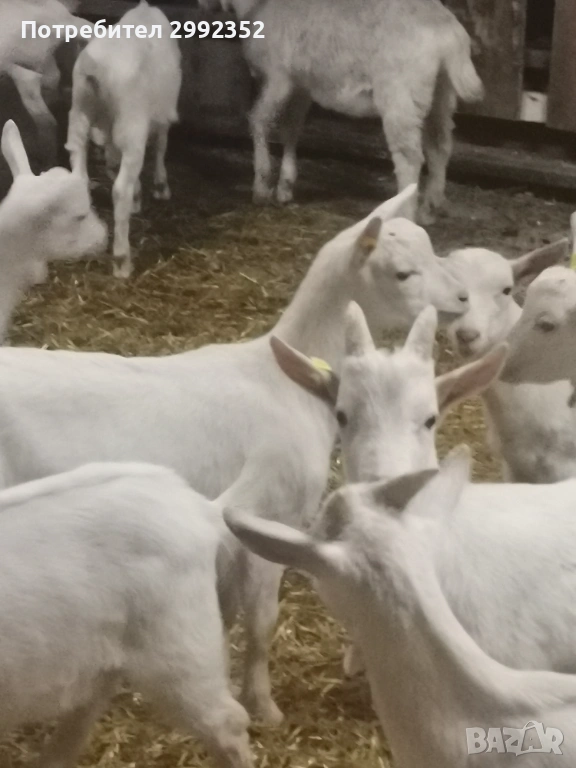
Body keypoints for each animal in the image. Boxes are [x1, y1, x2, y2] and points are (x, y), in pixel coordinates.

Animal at [0, 184, 468, 724]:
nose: (462, 298)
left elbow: (224, 614)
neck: (287, 381)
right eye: (402, 273)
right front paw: (264, 706)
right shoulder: (269, 518)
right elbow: (262, 621)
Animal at [66, 1, 182, 278]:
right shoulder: (162, 114)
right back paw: (122, 260)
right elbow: (161, 146)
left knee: (81, 176)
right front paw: (160, 187)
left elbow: (113, 162)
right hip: (132, 123)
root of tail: (95, 69)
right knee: (120, 190)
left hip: (79, 113)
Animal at [198, 0, 483, 223]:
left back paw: (405, 214)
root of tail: (449, 35)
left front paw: (261, 187)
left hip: (401, 94)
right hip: (442, 94)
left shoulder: (279, 77)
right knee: (439, 147)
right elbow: (292, 129)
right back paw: (429, 209)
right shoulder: (302, 86)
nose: (203, 5)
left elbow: (258, 121)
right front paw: (285, 188)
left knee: (410, 156)